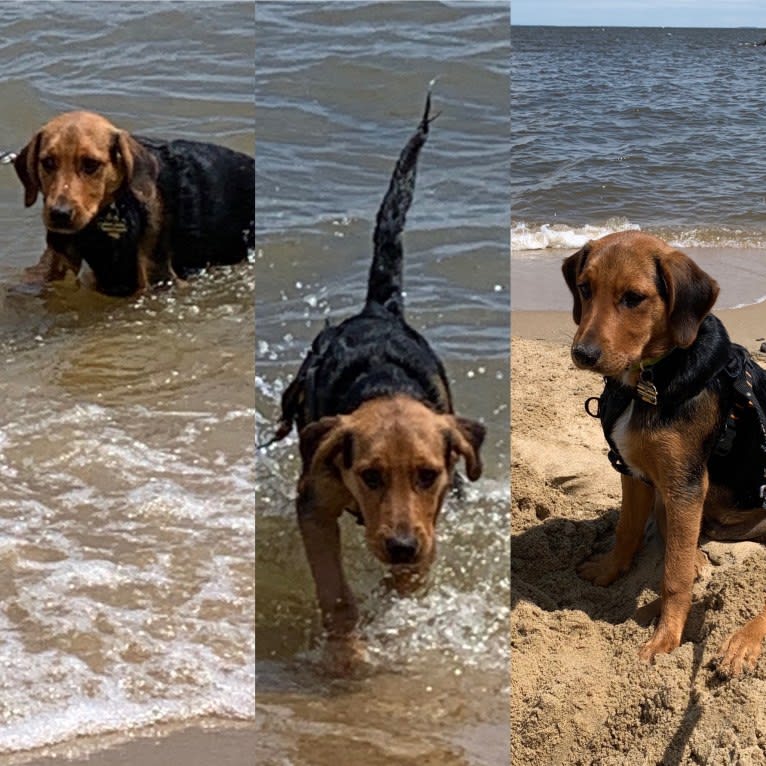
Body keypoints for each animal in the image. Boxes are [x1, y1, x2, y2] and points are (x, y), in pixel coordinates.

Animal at [272, 91, 484, 672]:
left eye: (427, 474)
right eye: (368, 475)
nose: (402, 546)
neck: (383, 386)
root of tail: (378, 307)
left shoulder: (431, 516)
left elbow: (405, 582)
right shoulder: (314, 504)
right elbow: (335, 593)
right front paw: (347, 652)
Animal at [564, 231, 766, 676]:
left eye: (634, 298)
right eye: (584, 289)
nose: (583, 355)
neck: (647, 380)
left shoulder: (685, 482)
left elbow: (673, 577)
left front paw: (665, 639)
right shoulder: (633, 471)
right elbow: (627, 530)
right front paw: (608, 571)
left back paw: (741, 643)